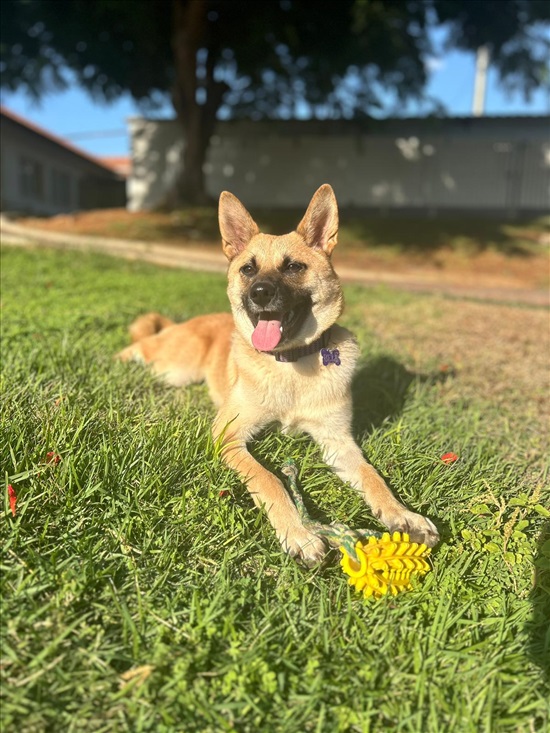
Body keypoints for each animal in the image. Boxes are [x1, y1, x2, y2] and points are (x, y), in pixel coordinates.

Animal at [118, 186, 442, 564]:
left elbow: (372, 476)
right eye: (248, 269)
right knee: (138, 344)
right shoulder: (229, 435)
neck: (289, 364)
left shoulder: (337, 442)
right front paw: (298, 533)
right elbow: (268, 479)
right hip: (173, 369)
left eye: (294, 267)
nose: (260, 293)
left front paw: (402, 514)